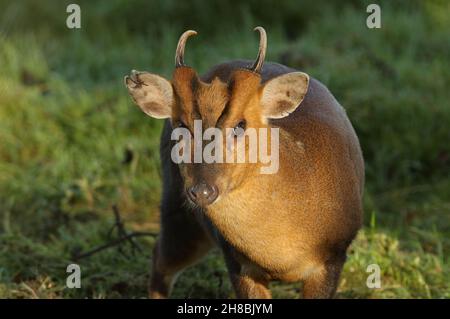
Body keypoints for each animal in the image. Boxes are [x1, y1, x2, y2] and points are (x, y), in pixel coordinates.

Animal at [125, 27, 364, 300]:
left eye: (240, 124)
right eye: (181, 125)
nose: (202, 191)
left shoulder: (334, 255)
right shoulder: (236, 261)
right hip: (177, 208)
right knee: (159, 260)